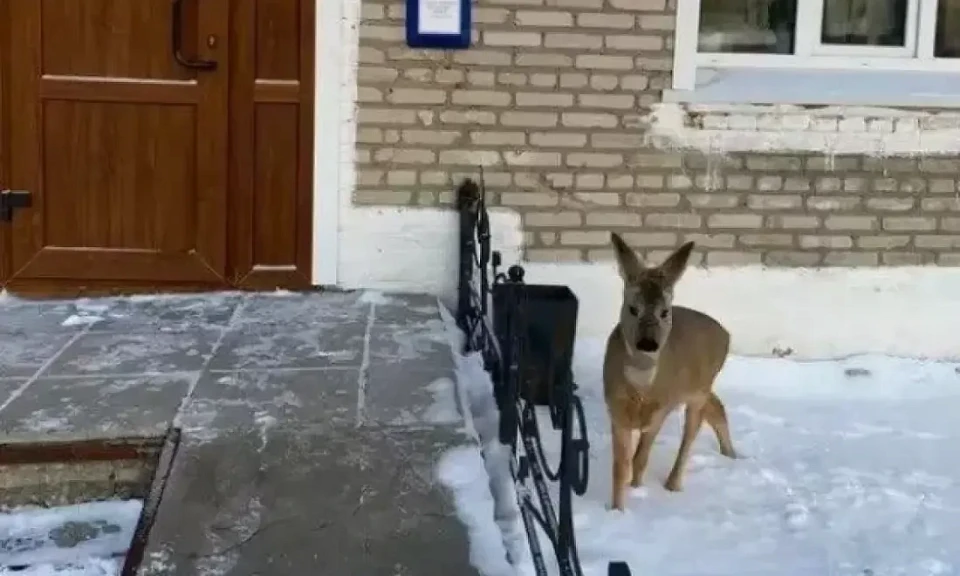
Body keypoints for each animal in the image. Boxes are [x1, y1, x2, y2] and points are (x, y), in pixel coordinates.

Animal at [604, 232, 740, 510]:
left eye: (664, 312)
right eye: (632, 308)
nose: (648, 343)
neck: (641, 391)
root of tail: (726, 334)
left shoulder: (662, 408)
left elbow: (640, 459)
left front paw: (637, 489)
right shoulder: (615, 409)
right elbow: (621, 467)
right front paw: (617, 510)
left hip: (698, 391)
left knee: (691, 433)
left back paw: (674, 484)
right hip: (700, 387)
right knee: (717, 408)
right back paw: (730, 454)